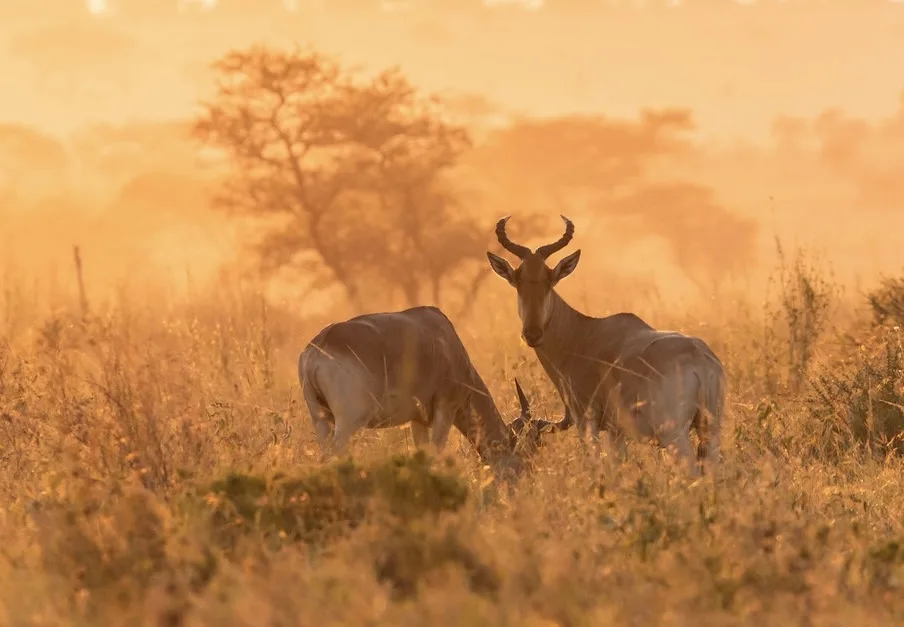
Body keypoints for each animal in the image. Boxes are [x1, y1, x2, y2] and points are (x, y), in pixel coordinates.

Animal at [298, 305, 566, 478]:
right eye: (530, 448)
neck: (444, 337)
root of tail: (321, 344)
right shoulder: (445, 410)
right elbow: (436, 453)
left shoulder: (418, 420)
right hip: (349, 421)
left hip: (320, 418)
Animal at [486, 216, 726, 476]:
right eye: (518, 281)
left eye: (549, 280)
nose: (532, 334)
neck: (584, 334)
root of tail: (700, 359)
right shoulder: (616, 431)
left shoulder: (585, 422)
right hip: (711, 430)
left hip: (674, 434)